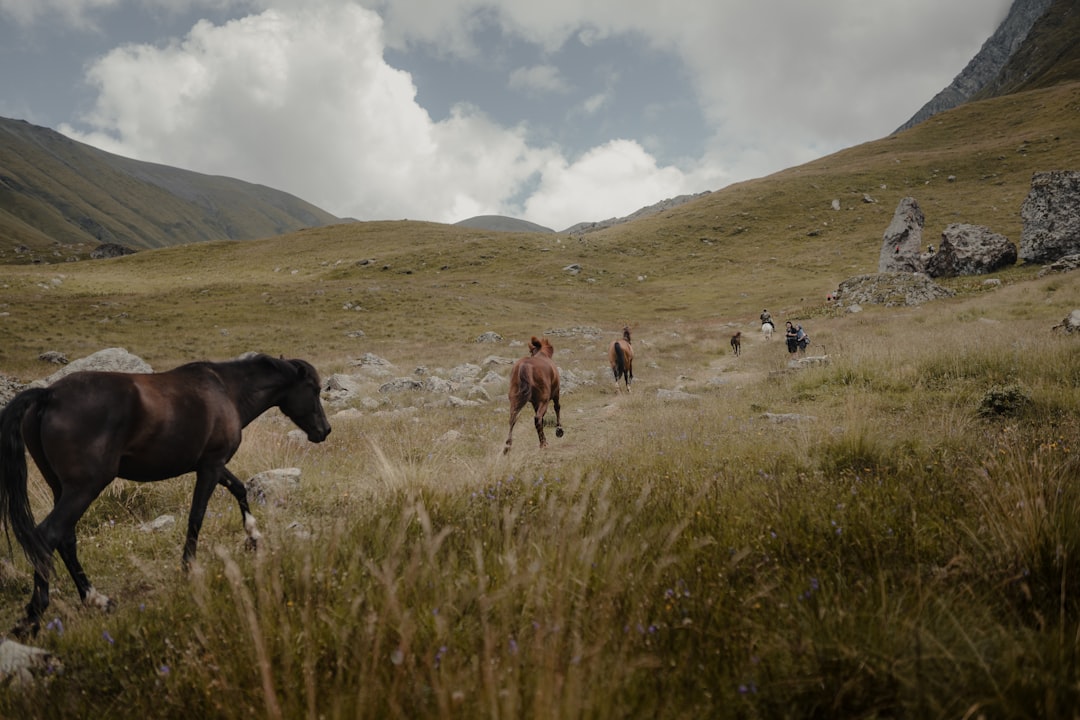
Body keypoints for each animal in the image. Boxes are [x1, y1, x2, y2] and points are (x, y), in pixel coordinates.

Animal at [0, 354, 328, 634]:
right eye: (313, 389)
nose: (324, 430)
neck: (227, 391)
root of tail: (48, 396)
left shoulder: (211, 464)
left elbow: (239, 488)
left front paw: (254, 535)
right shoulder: (211, 466)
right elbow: (197, 516)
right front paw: (189, 568)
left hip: (62, 488)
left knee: (65, 539)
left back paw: (96, 599)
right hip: (84, 488)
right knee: (48, 535)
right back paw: (34, 615)